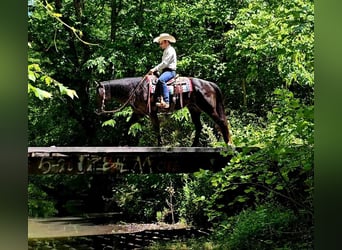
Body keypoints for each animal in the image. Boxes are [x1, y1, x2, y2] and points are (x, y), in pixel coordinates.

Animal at [94, 74, 232, 146]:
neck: (136, 89)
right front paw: (124, 143)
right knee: (199, 126)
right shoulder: (138, 113)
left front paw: (160, 145)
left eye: (98, 94)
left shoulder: (152, 113)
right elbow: (126, 126)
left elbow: (156, 128)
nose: (98, 110)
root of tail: (210, 84)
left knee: (221, 122)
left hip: (209, 108)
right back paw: (193, 145)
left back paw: (228, 144)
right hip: (194, 109)